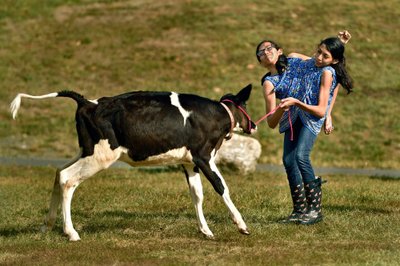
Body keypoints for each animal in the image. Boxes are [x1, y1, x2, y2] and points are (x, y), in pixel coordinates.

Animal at [10, 84, 258, 241]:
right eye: (245, 105)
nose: (254, 125)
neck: (215, 115)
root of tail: (88, 102)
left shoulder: (189, 162)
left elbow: (197, 195)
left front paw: (205, 231)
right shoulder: (203, 156)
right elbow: (221, 187)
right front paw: (242, 225)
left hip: (86, 151)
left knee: (59, 172)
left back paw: (47, 226)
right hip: (100, 155)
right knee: (67, 179)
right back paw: (71, 233)